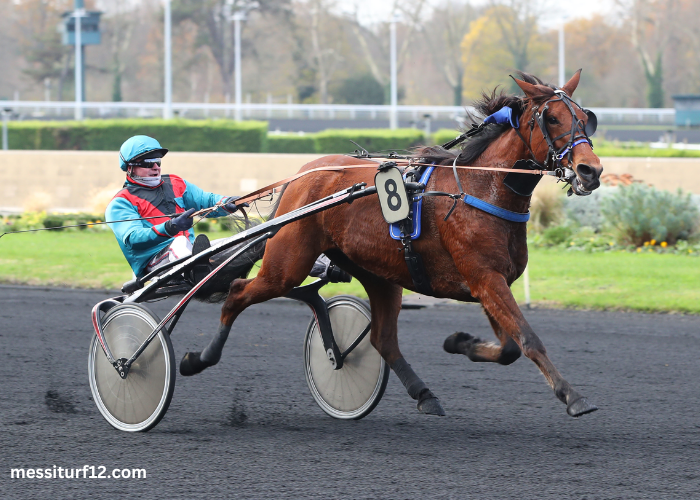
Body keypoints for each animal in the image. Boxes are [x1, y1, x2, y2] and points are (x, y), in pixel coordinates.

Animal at [183, 70, 604, 418]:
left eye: (585, 117)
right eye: (552, 118)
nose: (591, 170)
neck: (481, 187)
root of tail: (302, 174)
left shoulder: (490, 282)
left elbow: (509, 347)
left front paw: (459, 341)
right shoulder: (485, 278)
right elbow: (528, 339)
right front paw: (573, 396)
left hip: (379, 274)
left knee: (382, 339)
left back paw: (425, 395)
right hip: (286, 265)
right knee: (238, 292)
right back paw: (197, 358)